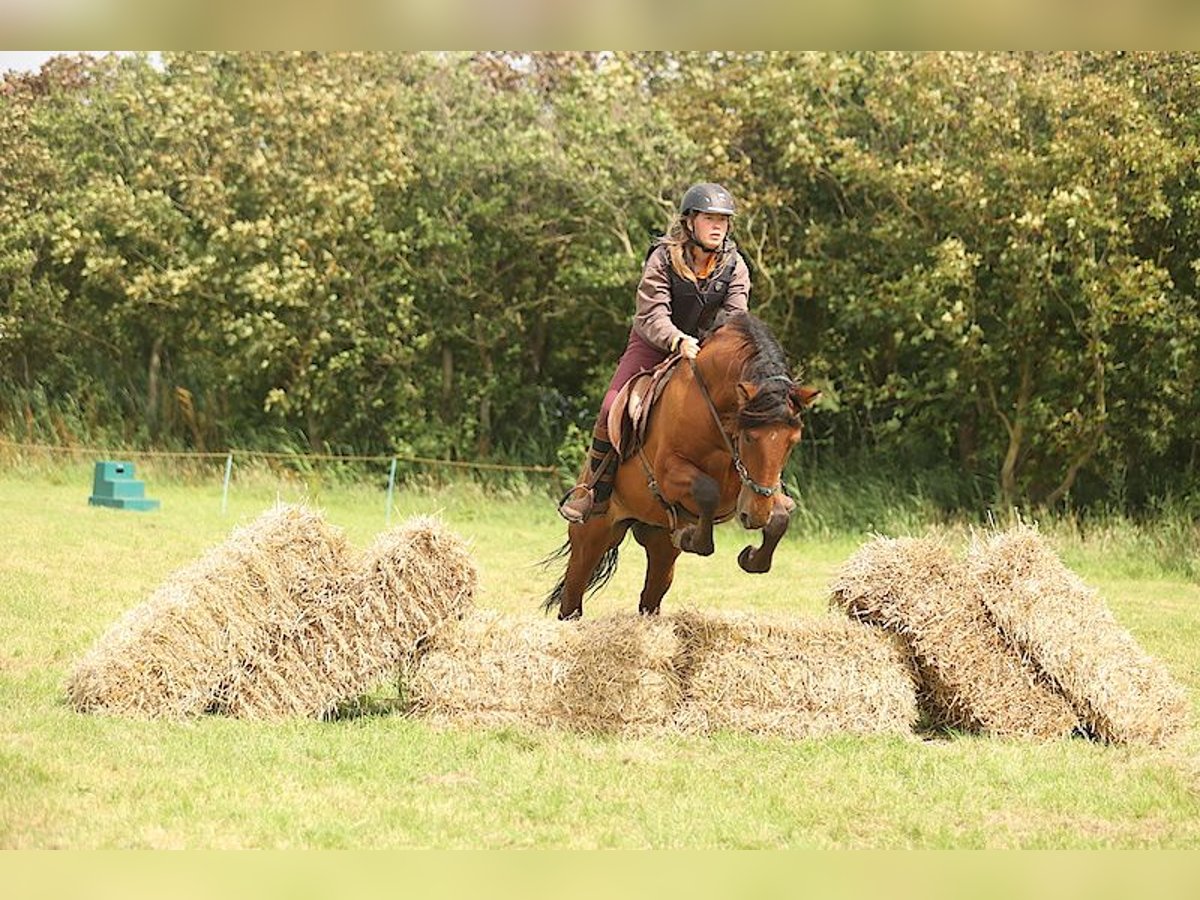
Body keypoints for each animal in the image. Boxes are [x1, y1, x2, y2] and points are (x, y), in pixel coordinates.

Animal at [542, 312, 816, 619]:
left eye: (792, 441)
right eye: (748, 437)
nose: (755, 516)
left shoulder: (750, 483)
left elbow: (779, 516)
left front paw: (753, 557)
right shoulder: (667, 473)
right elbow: (707, 490)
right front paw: (692, 539)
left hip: (659, 544)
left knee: (650, 597)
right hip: (592, 535)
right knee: (572, 596)